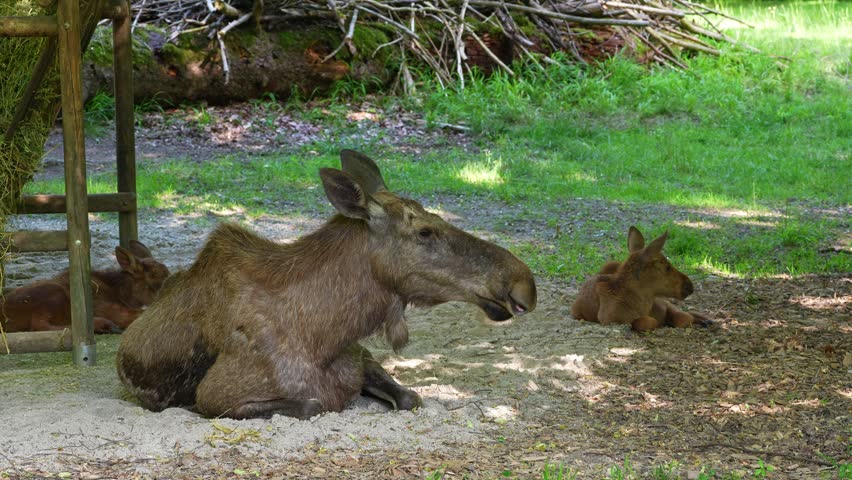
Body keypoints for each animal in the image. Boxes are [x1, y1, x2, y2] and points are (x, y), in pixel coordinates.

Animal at [1, 241, 170, 334]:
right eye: (156, 284)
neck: (121, 293)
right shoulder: (103, 306)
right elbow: (139, 314)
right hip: (55, 293)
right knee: (39, 325)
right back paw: (103, 325)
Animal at [117, 150, 537, 420]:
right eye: (425, 231)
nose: (524, 283)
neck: (325, 335)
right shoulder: (215, 397)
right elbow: (313, 404)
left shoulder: (362, 355)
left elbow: (409, 398)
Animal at [571, 226, 711, 332]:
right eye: (666, 267)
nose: (690, 286)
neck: (642, 306)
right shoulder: (610, 319)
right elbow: (647, 322)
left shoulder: (665, 304)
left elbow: (683, 317)